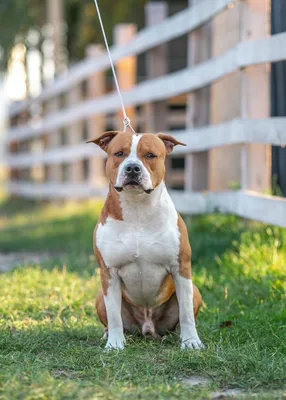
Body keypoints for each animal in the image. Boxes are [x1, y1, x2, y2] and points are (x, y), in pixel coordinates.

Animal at [89, 130, 203, 350]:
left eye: (150, 155)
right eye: (119, 153)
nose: (132, 168)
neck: (137, 209)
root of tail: (148, 328)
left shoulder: (181, 268)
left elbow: (186, 313)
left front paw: (191, 342)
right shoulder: (109, 273)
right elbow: (114, 316)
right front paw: (114, 344)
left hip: (194, 290)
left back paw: (174, 335)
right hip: (100, 295)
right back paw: (108, 335)